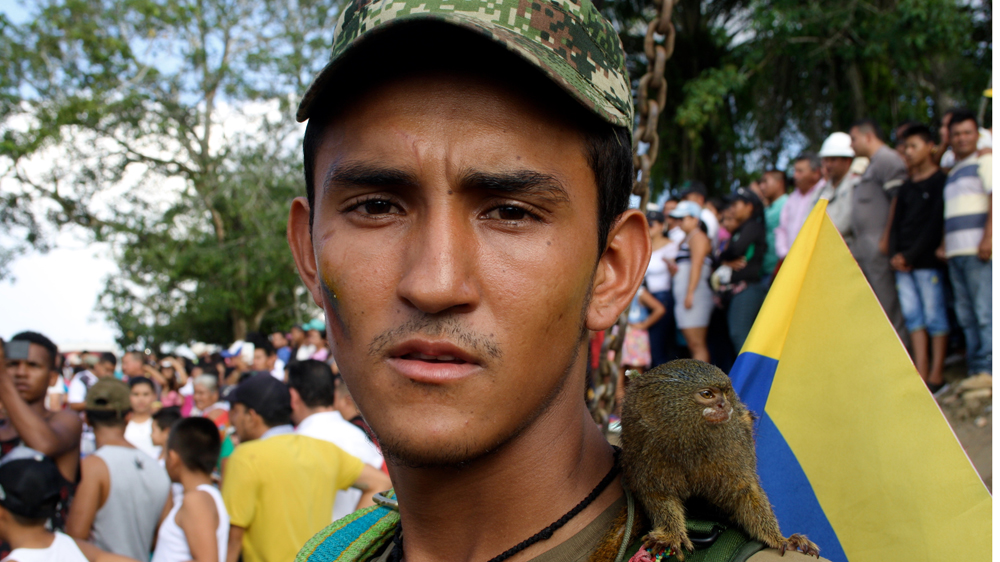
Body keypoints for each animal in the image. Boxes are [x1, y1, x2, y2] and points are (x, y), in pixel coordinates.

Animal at [619, 359, 819, 560]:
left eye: (725, 393)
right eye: (707, 394)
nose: (725, 404)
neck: (688, 442)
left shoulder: (735, 450)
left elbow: (745, 491)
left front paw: (779, 539)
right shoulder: (643, 452)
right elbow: (657, 494)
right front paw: (671, 533)